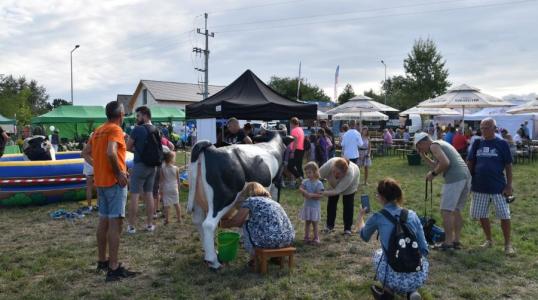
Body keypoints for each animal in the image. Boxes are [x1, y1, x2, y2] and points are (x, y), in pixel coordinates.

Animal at [186, 132, 292, 268]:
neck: (273, 145)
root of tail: (210, 148)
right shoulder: (276, 183)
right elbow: (276, 201)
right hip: (224, 197)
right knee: (209, 224)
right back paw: (214, 261)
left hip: (197, 197)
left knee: (198, 221)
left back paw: (210, 252)